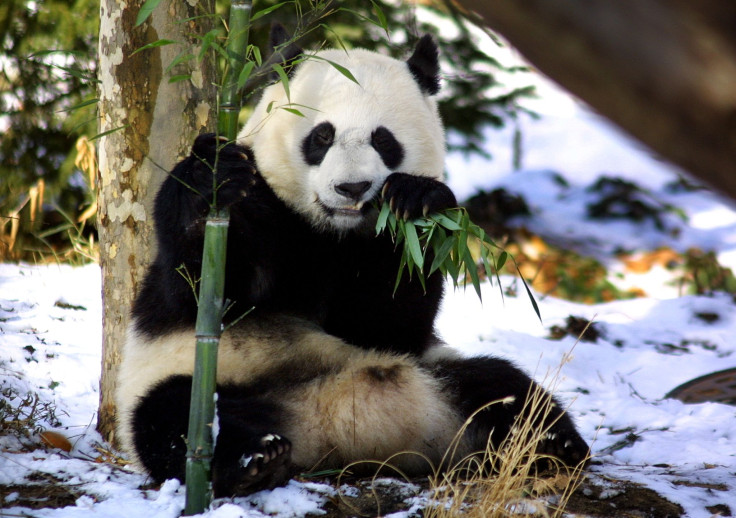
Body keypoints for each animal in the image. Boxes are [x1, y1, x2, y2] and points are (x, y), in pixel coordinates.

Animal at [115, 29, 588, 500]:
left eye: (383, 140)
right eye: (321, 137)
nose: (352, 187)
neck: (333, 229)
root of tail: (342, 433)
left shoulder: (378, 272)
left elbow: (389, 320)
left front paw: (415, 200)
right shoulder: (259, 217)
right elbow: (204, 287)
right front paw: (211, 177)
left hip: (439, 370)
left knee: (503, 387)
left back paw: (551, 445)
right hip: (202, 377)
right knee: (174, 417)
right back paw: (256, 460)